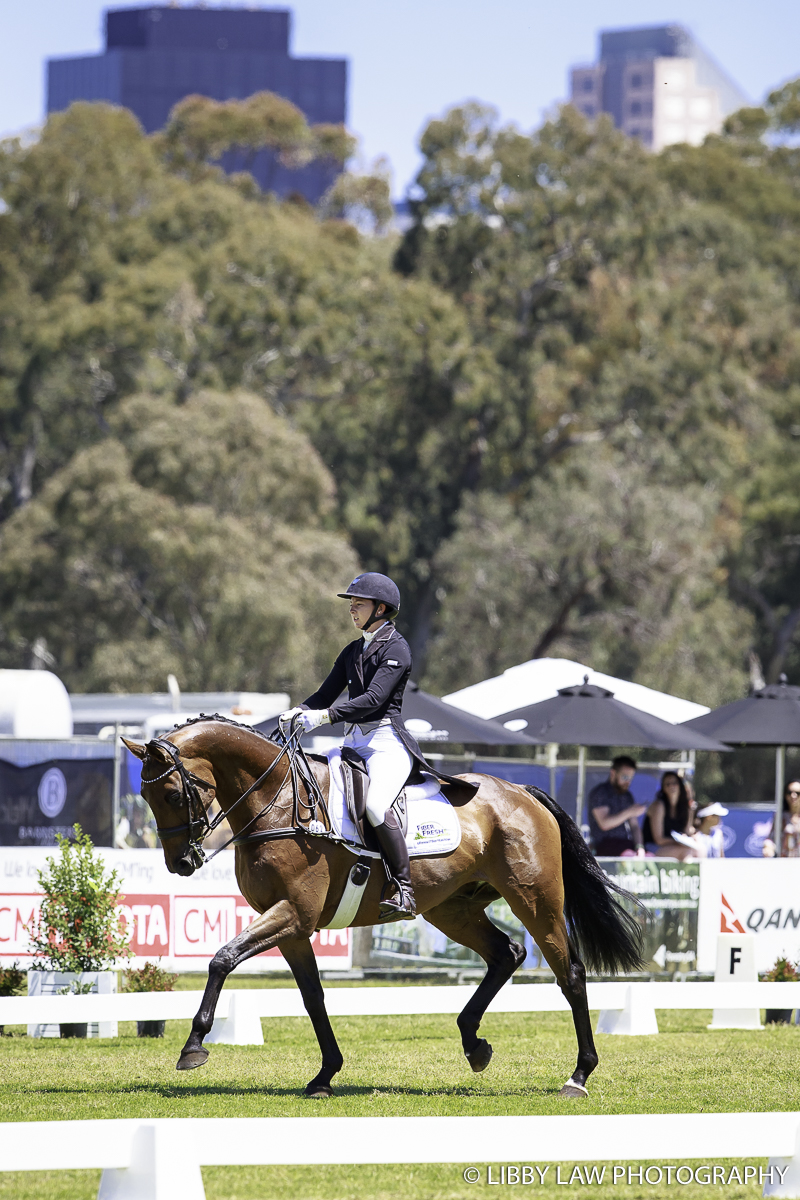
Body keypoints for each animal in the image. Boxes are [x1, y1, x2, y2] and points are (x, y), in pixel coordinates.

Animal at [122, 715, 642, 1099]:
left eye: (171, 793)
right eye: (145, 796)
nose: (181, 864)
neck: (279, 801)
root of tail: (521, 793)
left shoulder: (292, 913)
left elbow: (221, 959)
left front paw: (193, 1046)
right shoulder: (293, 927)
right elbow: (313, 998)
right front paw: (325, 1074)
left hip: (536, 901)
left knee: (569, 974)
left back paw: (578, 1076)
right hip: (451, 909)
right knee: (506, 954)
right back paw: (473, 1043)